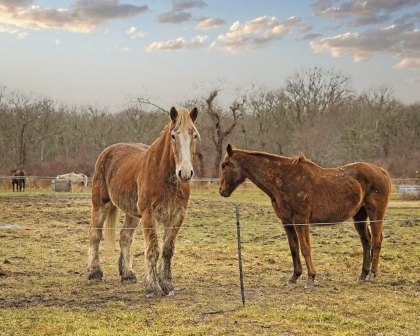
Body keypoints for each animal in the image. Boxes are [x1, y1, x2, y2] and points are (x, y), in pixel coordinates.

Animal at [88, 105, 199, 296]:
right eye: (173, 135)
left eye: (195, 135)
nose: (185, 173)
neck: (165, 177)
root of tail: (107, 151)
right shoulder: (149, 216)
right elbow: (153, 250)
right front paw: (153, 286)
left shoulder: (176, 216)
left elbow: (167, 250)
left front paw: (167, 284)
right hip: (100, 205)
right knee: (95, 235)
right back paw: (95, 272)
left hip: (132, 213)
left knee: (125, 238)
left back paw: (127, 274)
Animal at [218, 143, 392, 288]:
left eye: (224, 165)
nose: (221, 191)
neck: (284, 179)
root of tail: (382, 172)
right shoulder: (287, 222)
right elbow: (294, 248)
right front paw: (294, 277)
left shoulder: (301, 221)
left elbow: (305, 248)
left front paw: (310, 278)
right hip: (359, 216)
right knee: (366, 242)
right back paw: (363, 274)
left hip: (375, 214)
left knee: (376, 241)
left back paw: (372, 275)